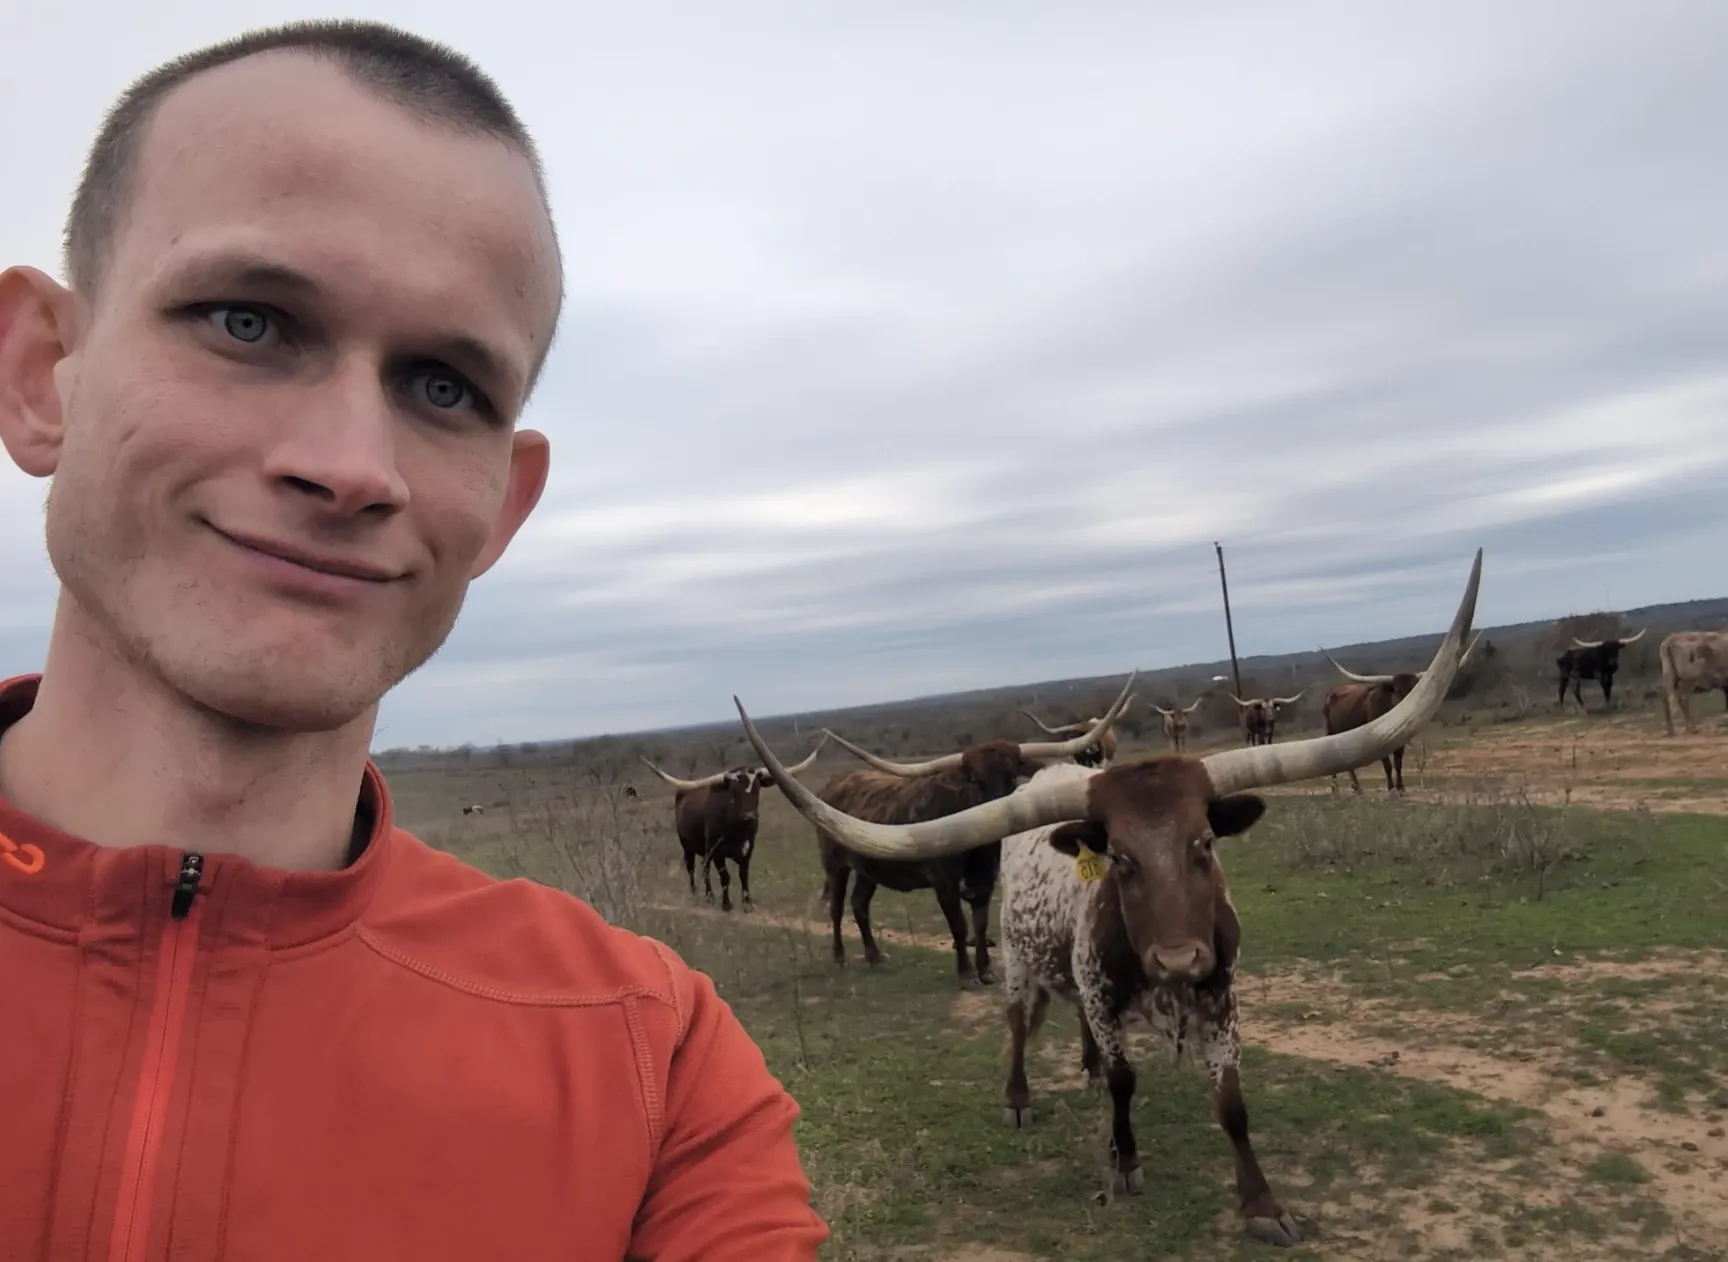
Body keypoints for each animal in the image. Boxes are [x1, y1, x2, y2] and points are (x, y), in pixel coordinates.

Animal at [642, 732, 829, 912]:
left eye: (757, 788)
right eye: (733, 791)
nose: (749, 816)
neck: (737, 828)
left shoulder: (747, 850)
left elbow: (743, 875)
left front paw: (747, 903)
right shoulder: (718, 852)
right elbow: (725, 877)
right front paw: (727, 904)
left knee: (705, 869)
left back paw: (709, 897)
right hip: (687, 845)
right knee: (692, 868)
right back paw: (696, 896)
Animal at [815, 677, 1140, 981]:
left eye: (1012, 775)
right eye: (974, 780)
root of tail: (834, 782)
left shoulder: (985, 882)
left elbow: (980, 924)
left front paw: (985, 969)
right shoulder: (944, 884)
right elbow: (959, 926)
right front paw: (966, 973)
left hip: (868, 869)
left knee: (859, 904)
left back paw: (874, 956)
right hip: (835, 865)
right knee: (836, 907)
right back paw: (839, 957)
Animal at [1313, 625, 1479, 788]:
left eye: (1414, 689)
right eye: (1397, 691)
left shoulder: (1399, 740)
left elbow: (1398, 763)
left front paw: (1400, 787)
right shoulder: (1377, 742)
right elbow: (1387, 765)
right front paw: (1391, 787)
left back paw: (1357, 788)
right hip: (1332, 732)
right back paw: (1337, 788)